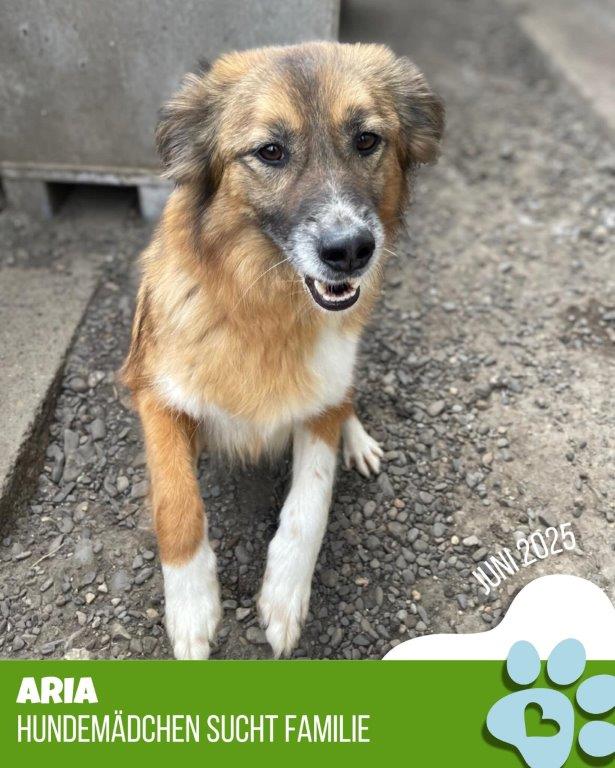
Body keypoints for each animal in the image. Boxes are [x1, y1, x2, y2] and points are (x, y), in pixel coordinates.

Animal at [123, 41, 443, 659]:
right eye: (270, 151)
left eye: (366, 139)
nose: (350, 250)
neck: (265, 309)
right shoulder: (155, 394)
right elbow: (177, 504)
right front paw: (193, 612)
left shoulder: (318, 404)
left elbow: (308, 506)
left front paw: (283, 599)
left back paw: (357, 440)